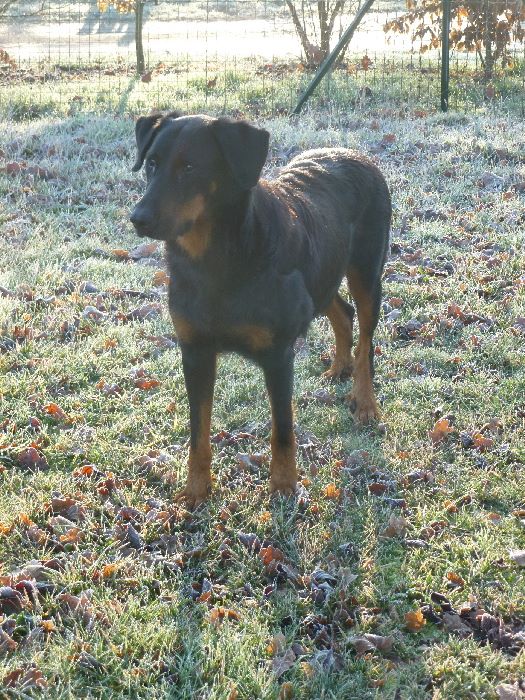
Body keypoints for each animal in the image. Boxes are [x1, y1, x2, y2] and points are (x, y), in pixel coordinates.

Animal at [130, 113, 388, 508]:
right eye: (152, 163)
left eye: (190, 167)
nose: (138, 218)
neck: (216, 259)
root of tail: (357, 154)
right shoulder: (195, 352)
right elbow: (198, 431)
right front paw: (196, 490)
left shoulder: (278, 356)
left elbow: (282, 429)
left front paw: (283, 486)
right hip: (321, 272)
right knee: (342, 312)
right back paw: (338, 367)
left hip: (366, 271)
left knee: (366, 342)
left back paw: (366, 401)